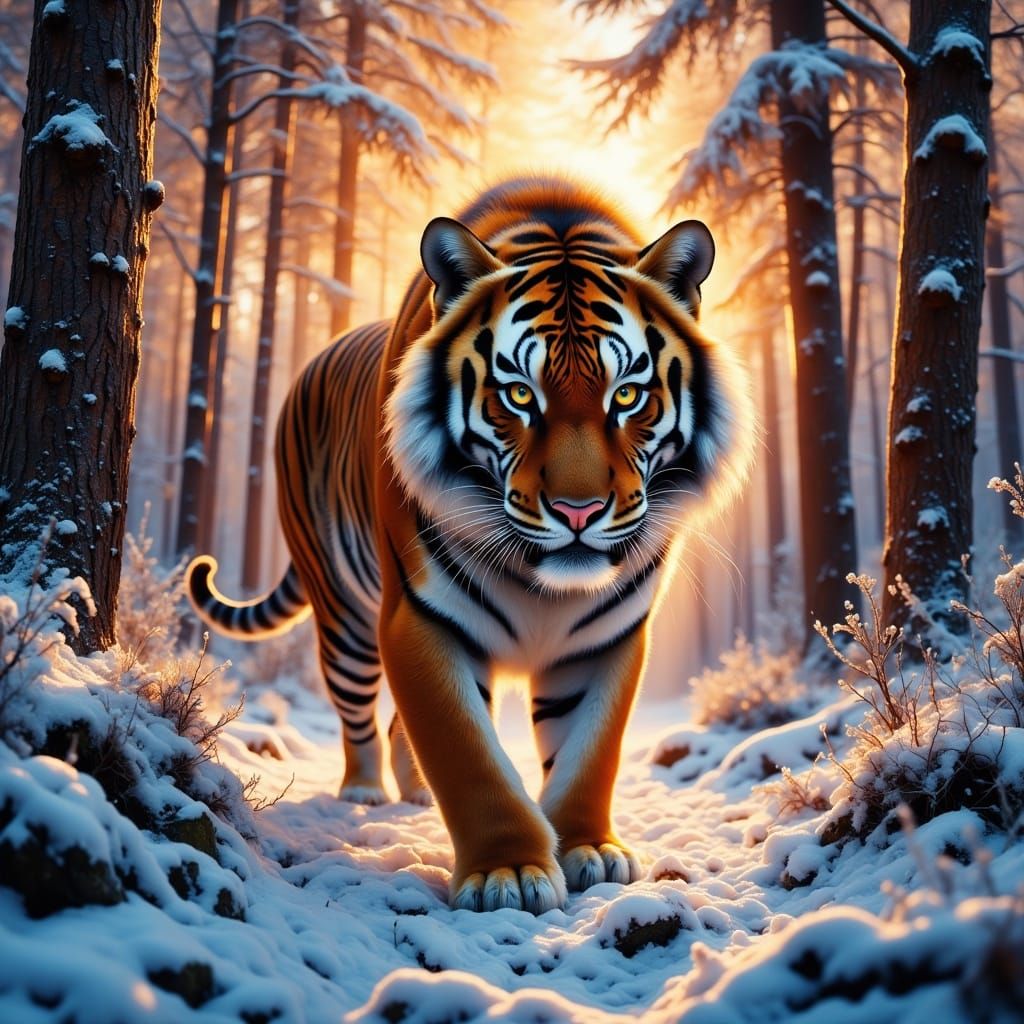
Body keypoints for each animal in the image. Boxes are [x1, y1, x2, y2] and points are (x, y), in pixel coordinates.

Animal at [186, 175, 754, 914]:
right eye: (518, 395)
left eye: (628, 396)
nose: (578, 509)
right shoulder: (420, 618)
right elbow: (467, 752)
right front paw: (506, 871)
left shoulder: (609, 636)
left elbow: (589, 752)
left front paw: (590, 849)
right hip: (344, 620)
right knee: (359, 714)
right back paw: (366, 791)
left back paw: (414, 794)